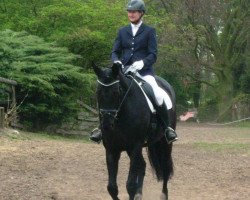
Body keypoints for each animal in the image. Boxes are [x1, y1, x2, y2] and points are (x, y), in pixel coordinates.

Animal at [92, 63, 176, 200]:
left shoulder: (135, 146)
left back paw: (163, 195)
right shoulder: (111, 149)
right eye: (98, 92)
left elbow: (130, 185)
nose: (106, 125)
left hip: (164, 143)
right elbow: (112, 188)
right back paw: (139, 194)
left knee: (165, 168)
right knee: (142, 165)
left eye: (116, 92)